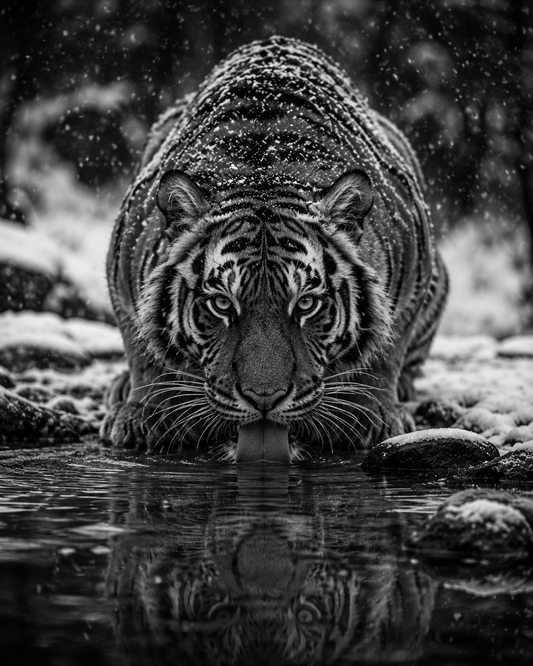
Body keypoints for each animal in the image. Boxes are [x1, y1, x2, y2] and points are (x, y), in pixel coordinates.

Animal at [100, 35, 448, 461]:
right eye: (221, 304)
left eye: (306, 304)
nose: (264, 398)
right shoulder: (122, 266)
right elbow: (141, 349)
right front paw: (147, 413)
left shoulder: (415, 259)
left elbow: (387, 348)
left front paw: (371, 414)